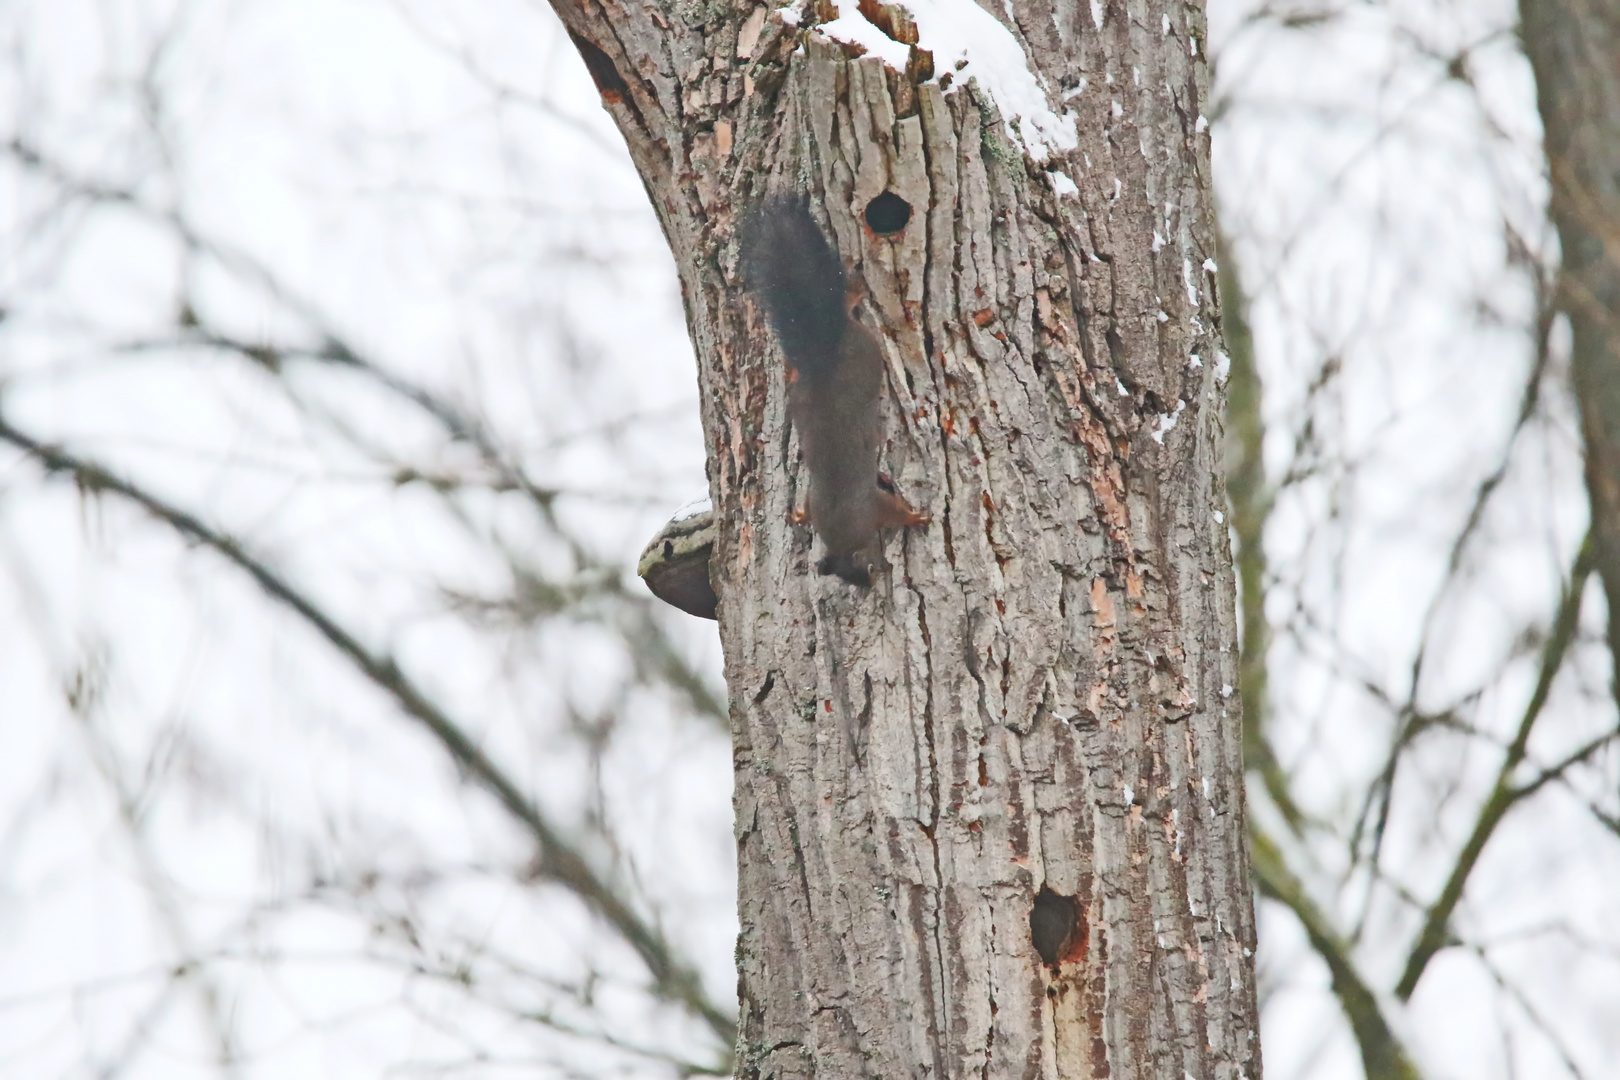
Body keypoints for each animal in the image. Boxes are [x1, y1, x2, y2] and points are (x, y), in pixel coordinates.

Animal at [735, 194, 926, 582]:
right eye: (860, 574)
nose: (869, 584)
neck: (842, 535)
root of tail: (823, 356)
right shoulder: (872, 505)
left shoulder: (873, 506)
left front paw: (916, 517)